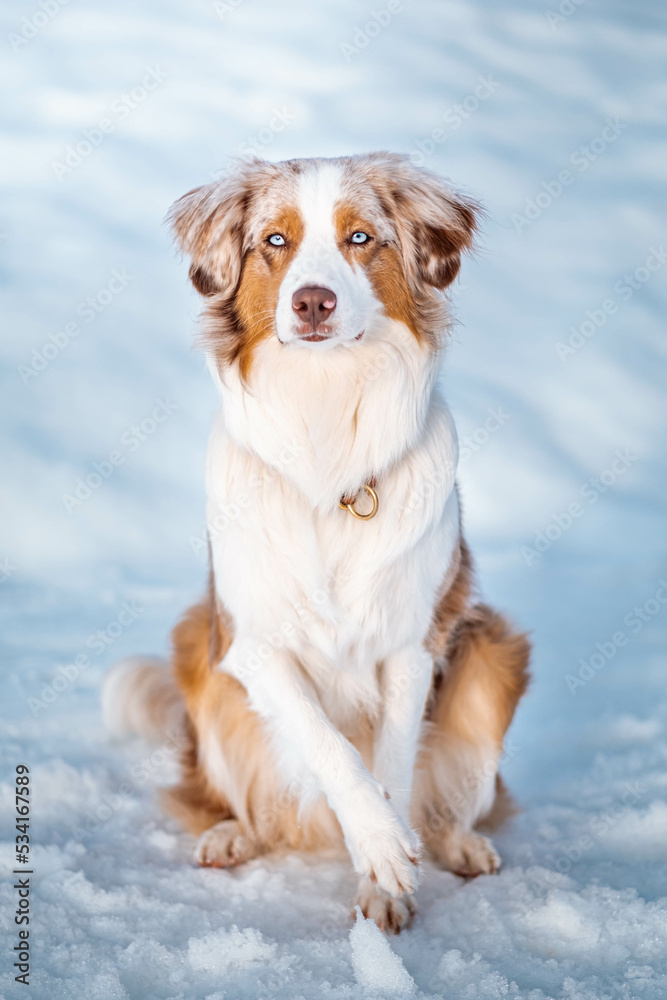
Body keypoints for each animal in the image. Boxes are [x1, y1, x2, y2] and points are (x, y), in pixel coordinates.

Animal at [104, 152, 528, 932]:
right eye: (275, 241)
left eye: (360, 238)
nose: (312, 303)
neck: (325, 417)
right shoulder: (253, 643)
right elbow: (330, 746)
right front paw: (381, 848)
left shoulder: (412, 642)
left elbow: (391, 764)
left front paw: (389, 877)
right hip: (196, 651)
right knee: (240, 800)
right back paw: (232, 834)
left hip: (493, 648)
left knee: (455, 798)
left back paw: (459, 844)